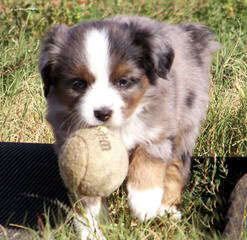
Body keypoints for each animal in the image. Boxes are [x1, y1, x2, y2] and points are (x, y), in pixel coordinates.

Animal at [39, 15, 220, 239]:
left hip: (186, 122)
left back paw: (167, 210)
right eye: (78, 84)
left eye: (123, 82)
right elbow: (86, 198)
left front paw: (144, 201)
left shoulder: (159, 128)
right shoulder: (67, 144)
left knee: (176, 166)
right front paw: (91, 231)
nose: (102, 113)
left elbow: (148, 158)